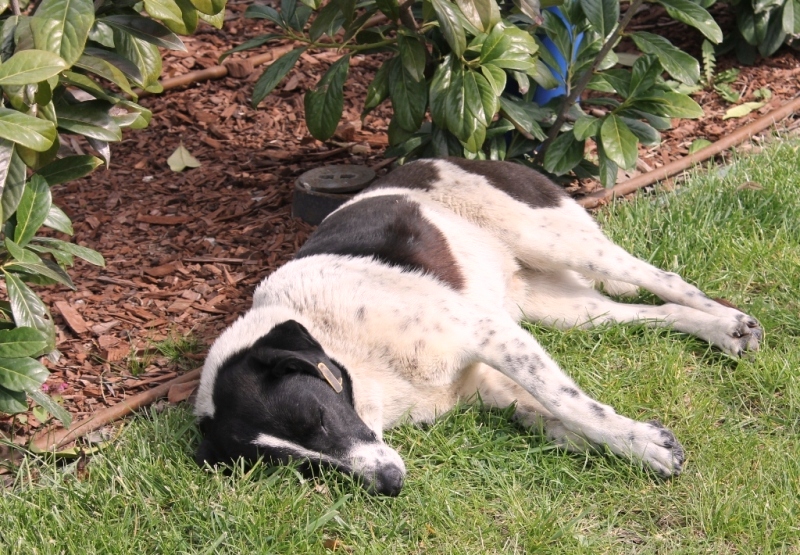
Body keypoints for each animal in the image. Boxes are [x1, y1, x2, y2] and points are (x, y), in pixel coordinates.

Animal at [194, 159, 764, 498]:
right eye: (301, 468)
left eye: (315, 417)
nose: (390, 483)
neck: (347, 349)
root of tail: (469, 157)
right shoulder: (488, 381)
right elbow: (557, 420)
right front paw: (636, 448)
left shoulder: (490, 336)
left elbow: (572, 405)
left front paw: (644, 443)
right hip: (561, 308)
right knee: (654, 312)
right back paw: (720, 331)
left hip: (559, 243)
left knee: (666, 280)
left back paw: (731, 321)